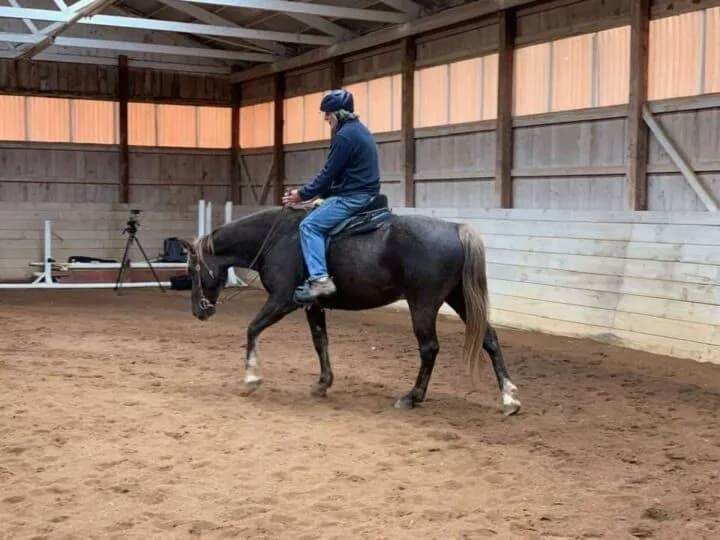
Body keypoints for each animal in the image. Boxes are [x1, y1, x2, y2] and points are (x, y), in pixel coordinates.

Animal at [179, 205, 516, 416]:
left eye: (193, 269)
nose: (198, 311)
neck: (277, 238)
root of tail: (457, 229)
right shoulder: (312, 305)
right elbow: (320, 342)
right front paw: (322, 384)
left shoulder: (283, 300)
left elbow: (252, 328)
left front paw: (251, 379)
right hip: (458, 298)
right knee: (489, 339)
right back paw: (510, 398)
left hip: (423, 303)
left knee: (429, 348)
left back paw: (412, 397)